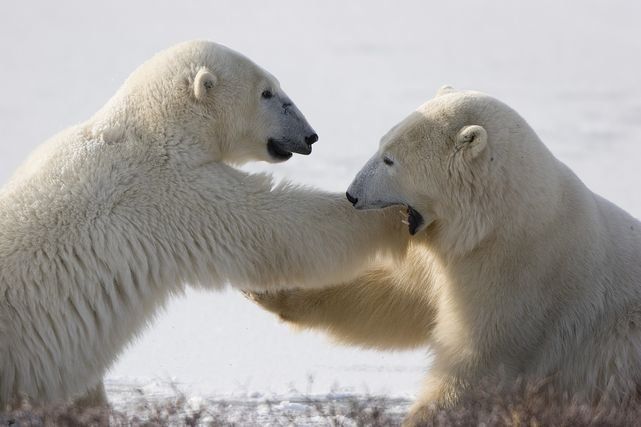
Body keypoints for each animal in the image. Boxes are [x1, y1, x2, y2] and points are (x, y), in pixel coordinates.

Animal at [248, 88, 640, 426]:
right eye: (381, 146)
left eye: (390, 160)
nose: (351, 194)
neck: (496, 220)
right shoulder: (445, 260)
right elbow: (393, 300)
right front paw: (270, 289)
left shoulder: (519, 277)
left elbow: (477, 368)